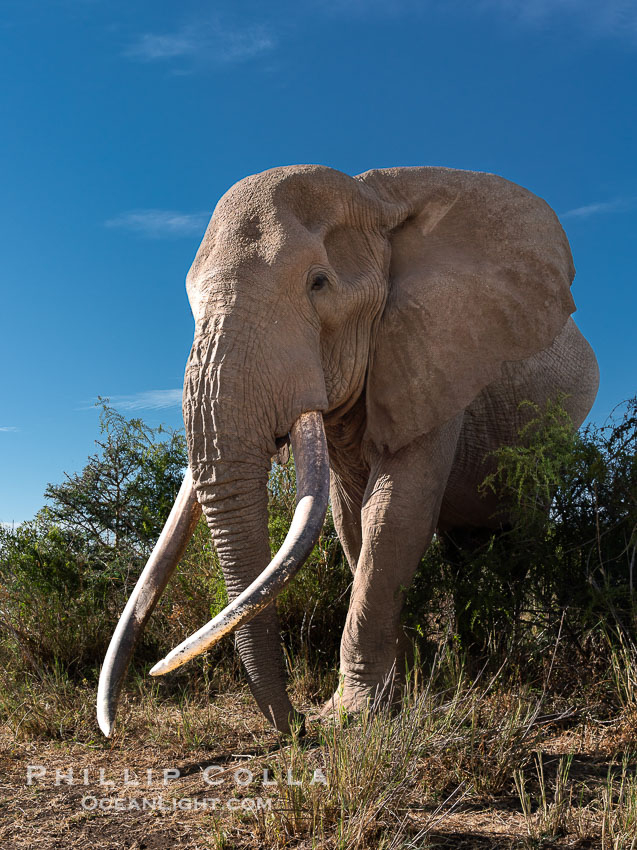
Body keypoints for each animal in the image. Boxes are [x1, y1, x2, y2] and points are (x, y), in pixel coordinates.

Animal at [94, 164, 596, 736]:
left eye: (319, 283)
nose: (298, 724)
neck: (377, 198)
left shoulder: (436, 356)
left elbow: (393, 513)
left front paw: (350, 715)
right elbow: (351, 517)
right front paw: (391, 694)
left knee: (521, 538)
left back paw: (503, 663)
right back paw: (472, 663)